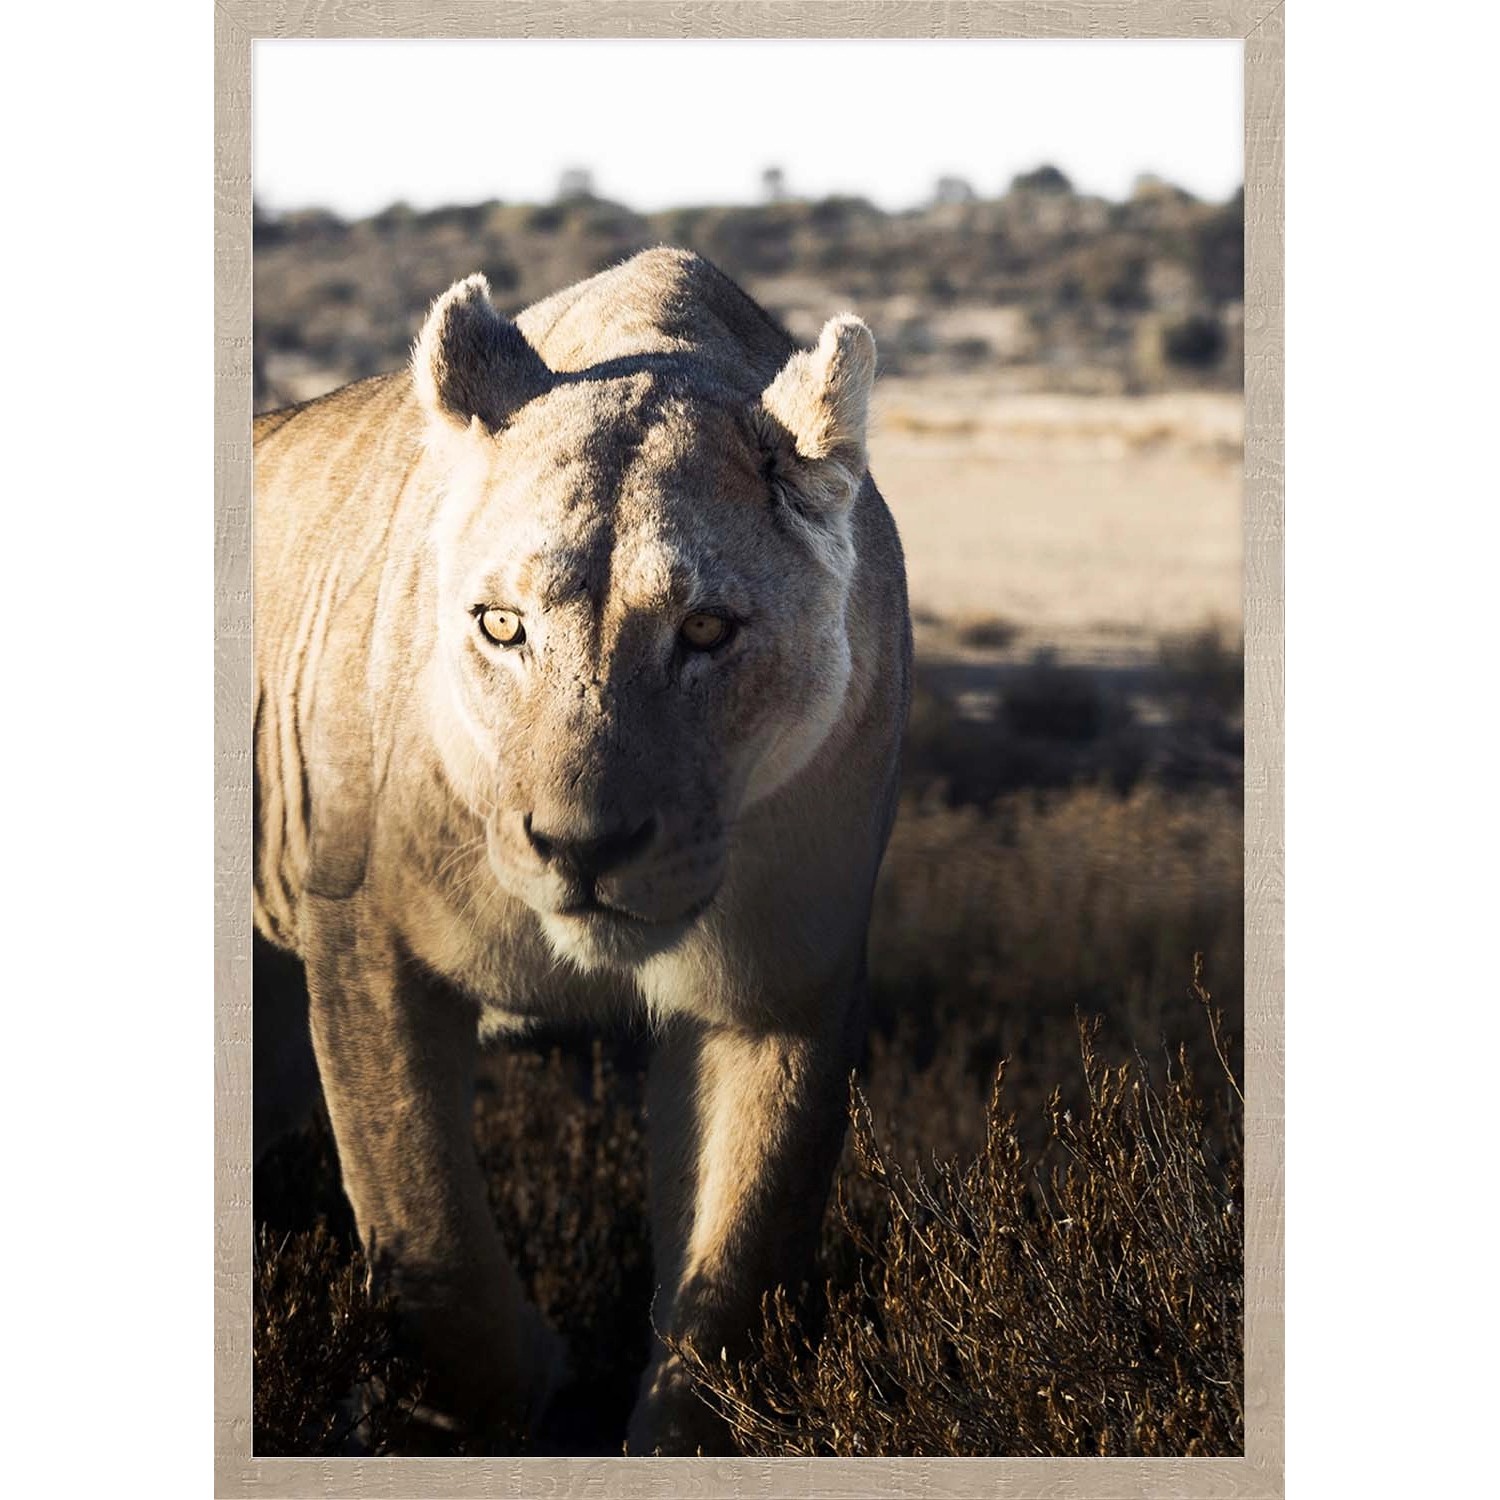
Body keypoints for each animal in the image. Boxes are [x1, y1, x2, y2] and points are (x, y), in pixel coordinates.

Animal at [252, 247, 910, 1454]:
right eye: (502, 626)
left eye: (706, 631)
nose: (580, 847)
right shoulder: (366, 951)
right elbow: (432, 1241)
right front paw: (496, 1402)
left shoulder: (783, 987)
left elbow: (733, 1275)